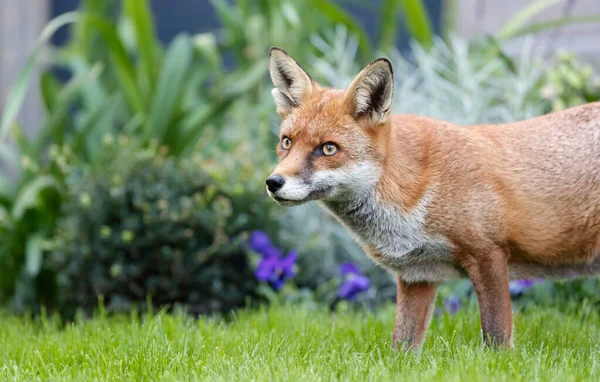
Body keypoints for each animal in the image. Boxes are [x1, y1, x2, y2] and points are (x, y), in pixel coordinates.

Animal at [264, 47, 600, 350]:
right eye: (286, 143)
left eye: (328, 149)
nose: (272, 182)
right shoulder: (417, 275)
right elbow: (402, 345)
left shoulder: (489, 254)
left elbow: (496, 336)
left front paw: (498, 365)